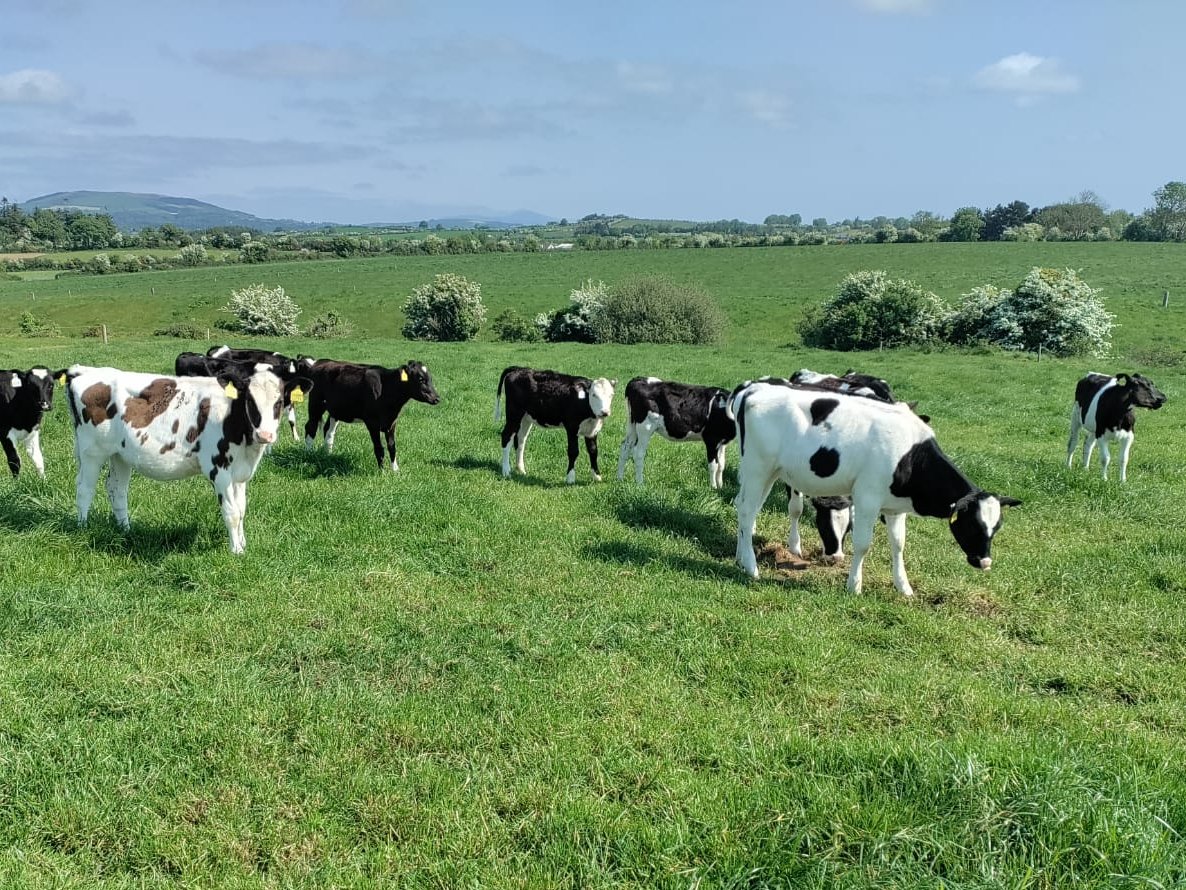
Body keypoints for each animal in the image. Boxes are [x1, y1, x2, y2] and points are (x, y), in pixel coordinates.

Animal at [730, 379, 1019, 595]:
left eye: (997, 527)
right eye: (972, 524)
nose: (985, 562)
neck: (910, 454)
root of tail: (756, 389)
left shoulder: (895, 507)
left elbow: (899, 544)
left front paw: (904, 587)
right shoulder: (867, 498)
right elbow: (863, 545)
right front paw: (854, 585)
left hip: (768, 473)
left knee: (745, 509)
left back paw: (741, 559)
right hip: (758, 468)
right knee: (746, 512)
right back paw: (752, 568)